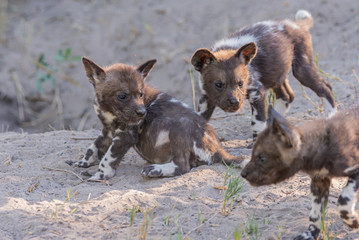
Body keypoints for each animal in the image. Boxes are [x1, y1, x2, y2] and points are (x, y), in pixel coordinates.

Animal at [68, 57, 245, 179]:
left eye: (140, 94)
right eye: (122, 96)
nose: (142, 112)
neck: (110, 111)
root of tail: (218, 149)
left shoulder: (125, 136)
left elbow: (107, 158)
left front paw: (101, 175)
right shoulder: (107, 131)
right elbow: (93, 148)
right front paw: (83, 163)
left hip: (180, 126)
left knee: (182, 166)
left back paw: (155, 170)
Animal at [191, 10, 338, 140]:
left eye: (240, 83)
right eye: (218, 84)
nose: (235, 102)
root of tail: (295, 24)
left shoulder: (257, 92)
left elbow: (257, 123)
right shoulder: (206, 98)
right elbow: (198, 122)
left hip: (302, 70)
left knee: (325, 88)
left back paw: (331, 117)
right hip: (278, 74)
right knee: (287, 96)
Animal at [240, 106, 359, 239]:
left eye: (262, 158)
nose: (242, 174)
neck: (322, 145)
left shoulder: (355, 171)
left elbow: (344, 201)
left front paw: (353, 221)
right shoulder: (319, 181)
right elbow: (315, 215)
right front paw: (311, 234)